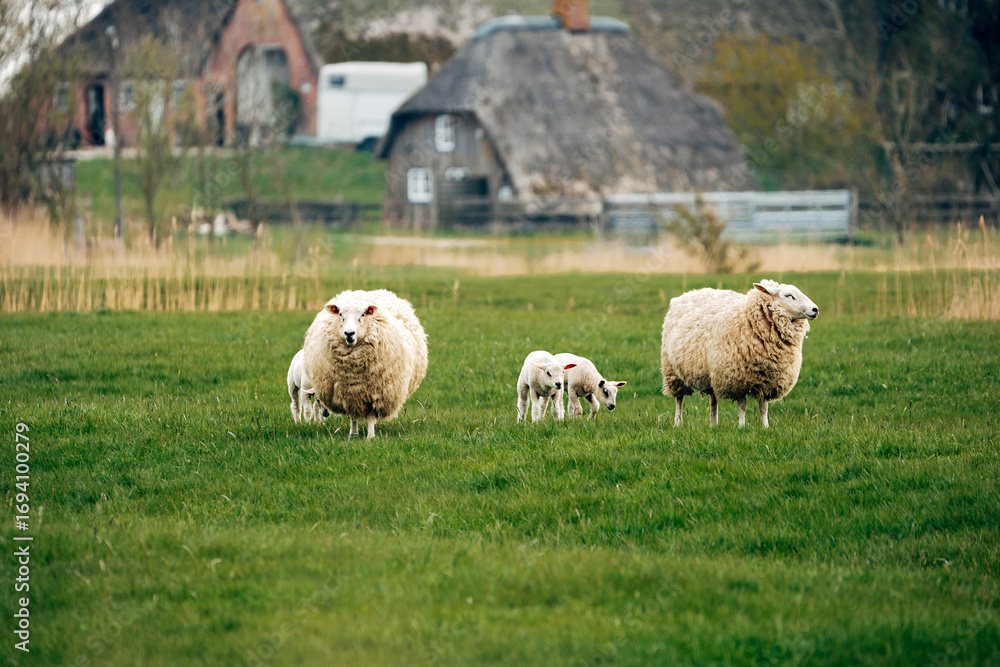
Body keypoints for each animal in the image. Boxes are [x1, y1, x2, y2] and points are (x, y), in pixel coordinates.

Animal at [303, 289, 428, 438]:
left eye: (363, 314)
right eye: (340, 314)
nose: (349, 333)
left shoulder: (375, 392)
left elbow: (371, 416)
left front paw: (370, 436)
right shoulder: (348, 393)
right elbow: (353, 416)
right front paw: (353, 434)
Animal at [660, 279, 818, 428]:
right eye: (788, 295)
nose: (815, 309)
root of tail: (688, 293)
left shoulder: (767, 381)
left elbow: (764, 407)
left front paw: (766, 427)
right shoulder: (738, 380)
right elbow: (742, 405)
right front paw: (742, 426)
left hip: (711, 374)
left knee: (713, 400)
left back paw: (713, 424)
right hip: (672, 371)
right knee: (679, 399)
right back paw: (678, 422)